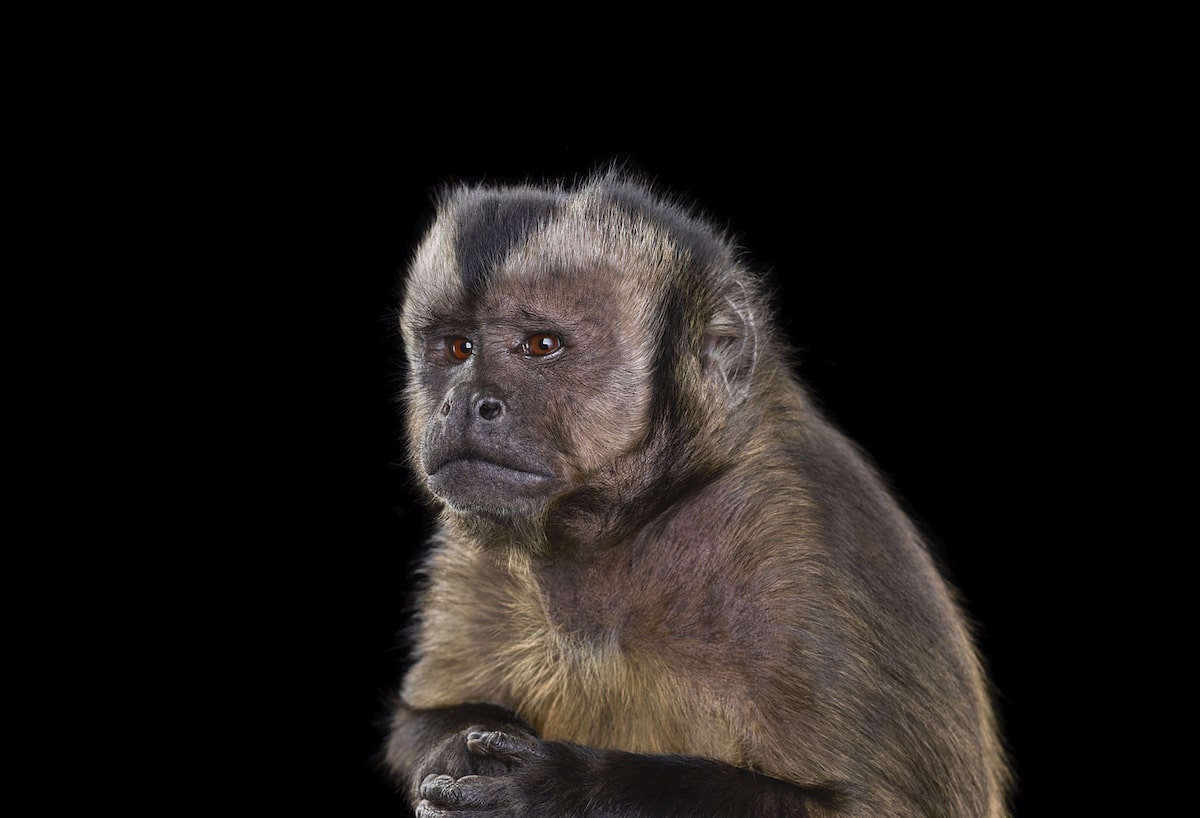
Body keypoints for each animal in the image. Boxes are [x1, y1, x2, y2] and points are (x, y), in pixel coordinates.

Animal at [381, 169, 1003, 810]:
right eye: (458, 348)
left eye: (541, 345)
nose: (464, 403)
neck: (626, 525)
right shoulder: (472, 558)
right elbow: (414, 724)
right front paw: (451, 747)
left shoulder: (805, 546)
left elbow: (864, 807)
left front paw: (555, 786)